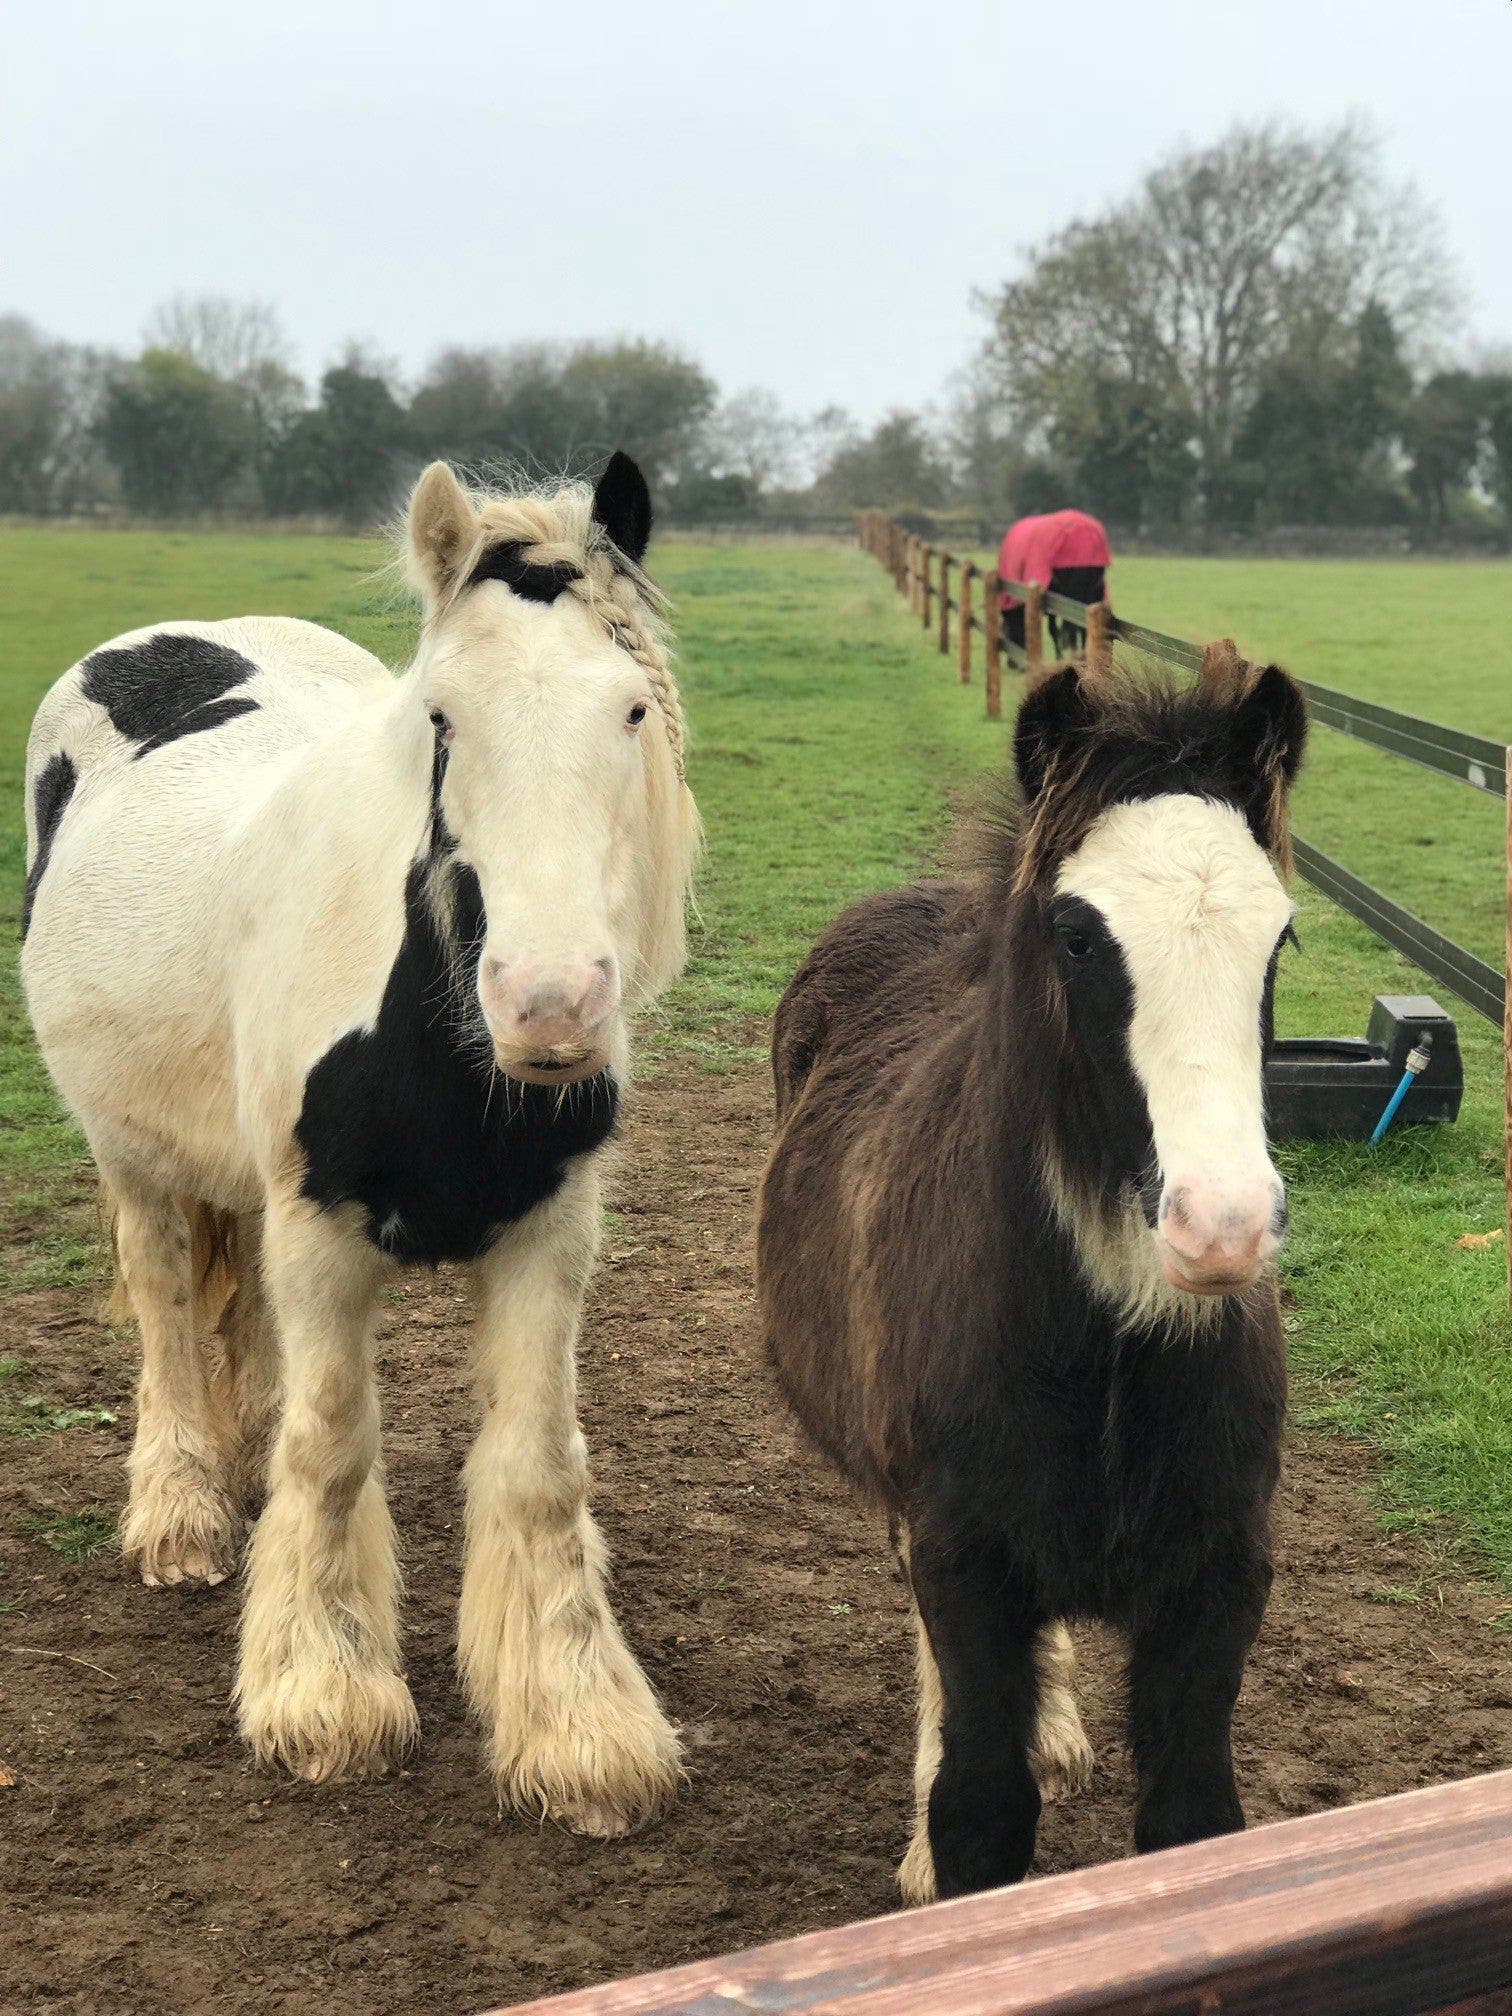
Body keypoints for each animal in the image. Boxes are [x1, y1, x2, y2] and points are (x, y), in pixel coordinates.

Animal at [762, 649, 1306, 1903]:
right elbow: (979, 1814)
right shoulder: (962, 1558)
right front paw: (935, 1847)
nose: (1221, 1229)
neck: (1104, 1359)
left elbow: (1195, 1821)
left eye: (1281, 941)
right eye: (1078, 936)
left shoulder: (1221, 1575)